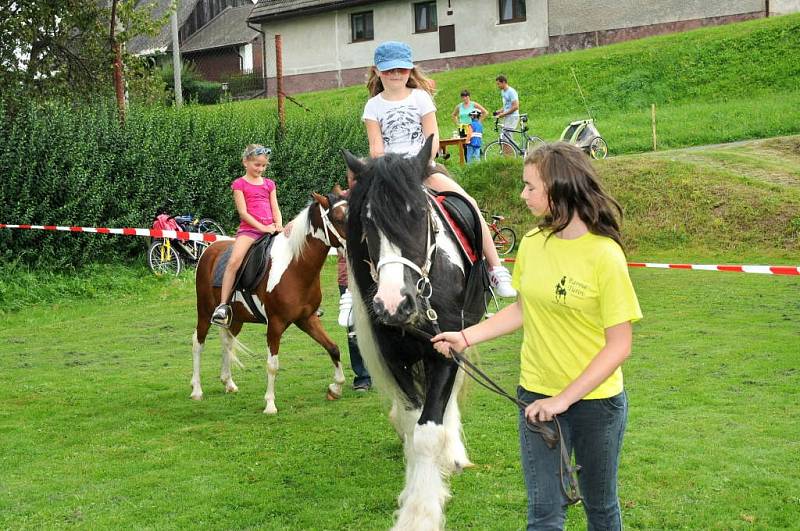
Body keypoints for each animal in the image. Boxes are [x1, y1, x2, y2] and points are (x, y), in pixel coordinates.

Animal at [193, 189, 346, 414]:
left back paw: (228, 383)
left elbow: (333, 347)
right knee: (198, 344)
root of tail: (209, 249)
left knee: (227, 342)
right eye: (338, 218)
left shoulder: (307, 318)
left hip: (235, 318)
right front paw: (270, 404)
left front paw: (335, 388)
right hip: (204, 313)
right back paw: (196, 390)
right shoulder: (275, 324)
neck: (295, 267)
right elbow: (272, 365)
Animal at [342, 138, 484, 531]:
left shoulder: (447, 348)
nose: (393, 305)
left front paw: (420, 512)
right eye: (367, 222)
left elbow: (428, 430)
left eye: (419, 213)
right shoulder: (395, 360)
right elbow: (411, 422)